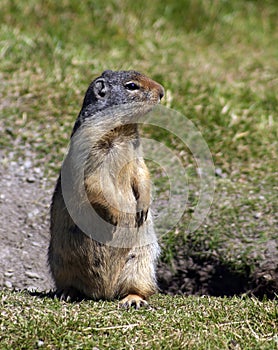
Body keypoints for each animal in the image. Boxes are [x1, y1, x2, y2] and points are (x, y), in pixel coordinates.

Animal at [48, 69, 164, 308]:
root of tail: (104, 292)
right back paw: (68, 292)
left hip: (141, 261)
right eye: (131, 86)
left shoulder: (136, 151)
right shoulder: (88, 147)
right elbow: (93, 182)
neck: (121, 129)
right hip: (61, 263)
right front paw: (116, 214)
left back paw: (133, 299)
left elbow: (142, 173)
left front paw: (143, 207)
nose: (162, 92)